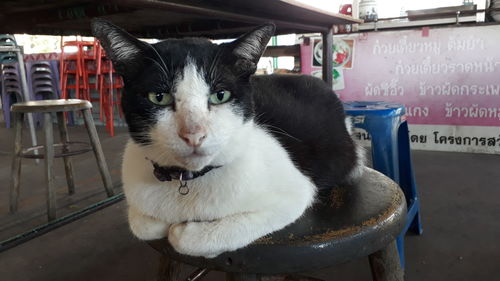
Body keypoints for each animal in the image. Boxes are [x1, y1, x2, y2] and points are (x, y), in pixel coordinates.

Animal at [91, 18, 364, 258]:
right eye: (159, 97)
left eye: (220, 95)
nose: (193, 134)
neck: (188, 183)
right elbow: (142, 224)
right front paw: (160, 223)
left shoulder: (295, 194)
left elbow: (193, 237)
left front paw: (184, 232)